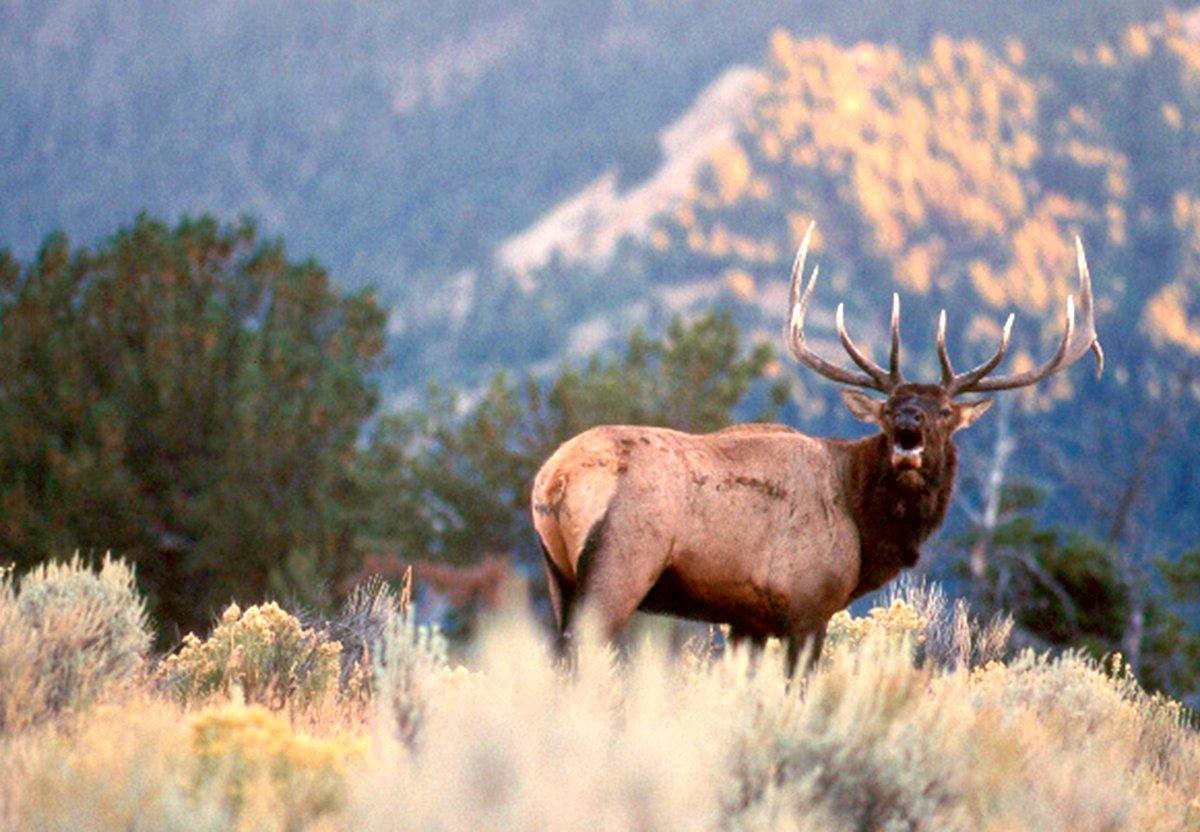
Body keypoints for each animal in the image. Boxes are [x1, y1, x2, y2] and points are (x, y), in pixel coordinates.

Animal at [530, 224, 1099, 667]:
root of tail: (553, 480)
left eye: (944, 412)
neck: (864, 528)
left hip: (558, 577)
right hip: (620, 567)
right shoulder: (808, 604)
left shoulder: (746, 619)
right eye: (889, 410)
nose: (908, 420)